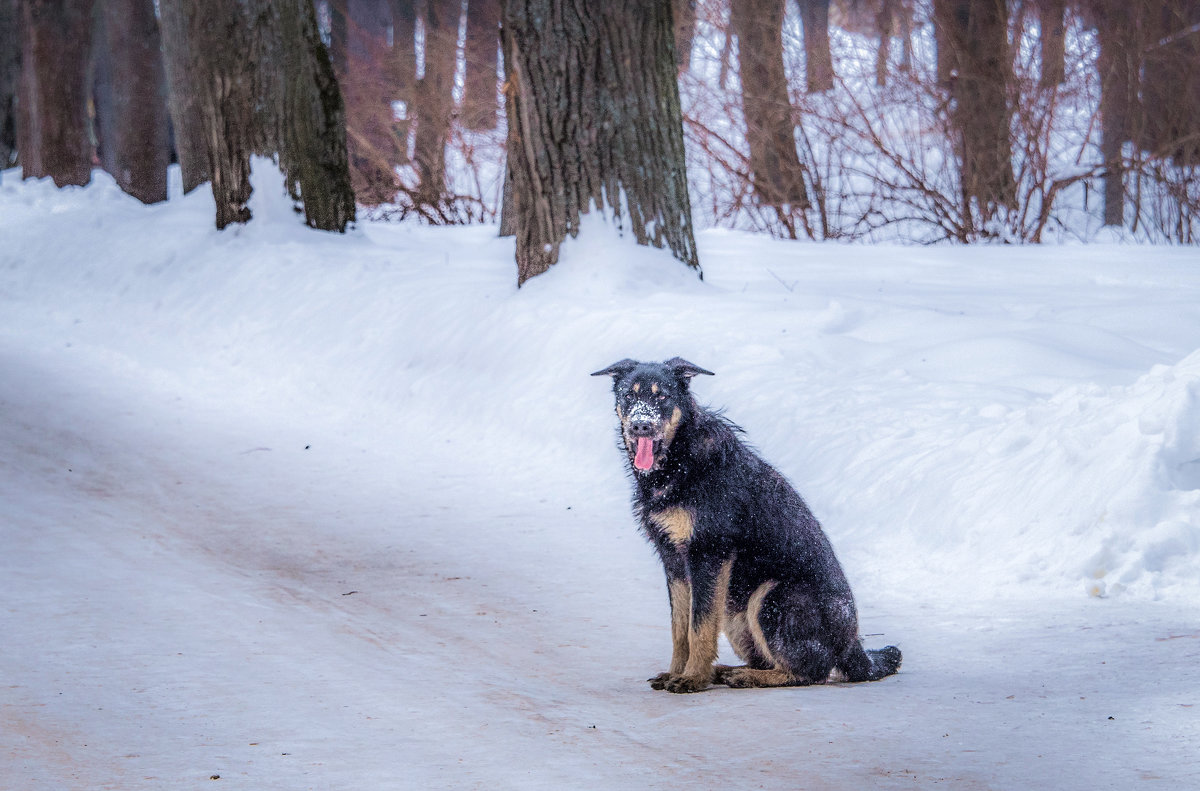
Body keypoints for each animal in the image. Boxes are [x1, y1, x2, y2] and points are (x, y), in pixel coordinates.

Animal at [590, 357, 902, 691]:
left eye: (662, 396)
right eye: (629, 395)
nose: (641, 425)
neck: (681, 457)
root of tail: (853, 648)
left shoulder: (709, 554)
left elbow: (699, 628)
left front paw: (692, 679)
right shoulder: (673, 560)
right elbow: (680, 628)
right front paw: (677, 672)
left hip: (771, 597)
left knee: (808, 672)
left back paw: (745, 676)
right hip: (734, 610)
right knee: (770, 660)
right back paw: (727, 671)